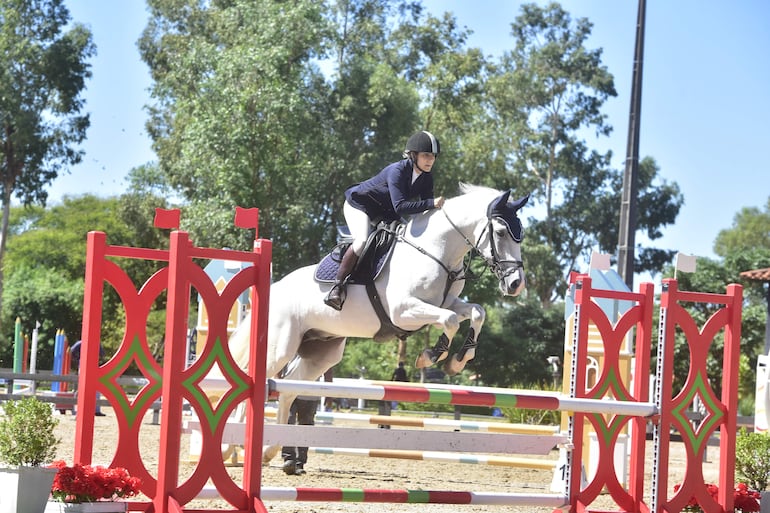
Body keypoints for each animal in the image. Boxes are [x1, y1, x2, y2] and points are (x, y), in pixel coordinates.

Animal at [228, 182, 528, 462]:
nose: (516, 285)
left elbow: (477, 312)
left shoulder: (447, 303)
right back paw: (233, 446)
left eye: (520, 234)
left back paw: (267, 450)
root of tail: (275, 288)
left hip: (320, 354)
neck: (436, 251)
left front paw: (459, 359)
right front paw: (431, 355)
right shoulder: (403, 311)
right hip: (279, 348)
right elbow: (451, 320)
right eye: (501, 232)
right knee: (253, 381)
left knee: (289, 390)